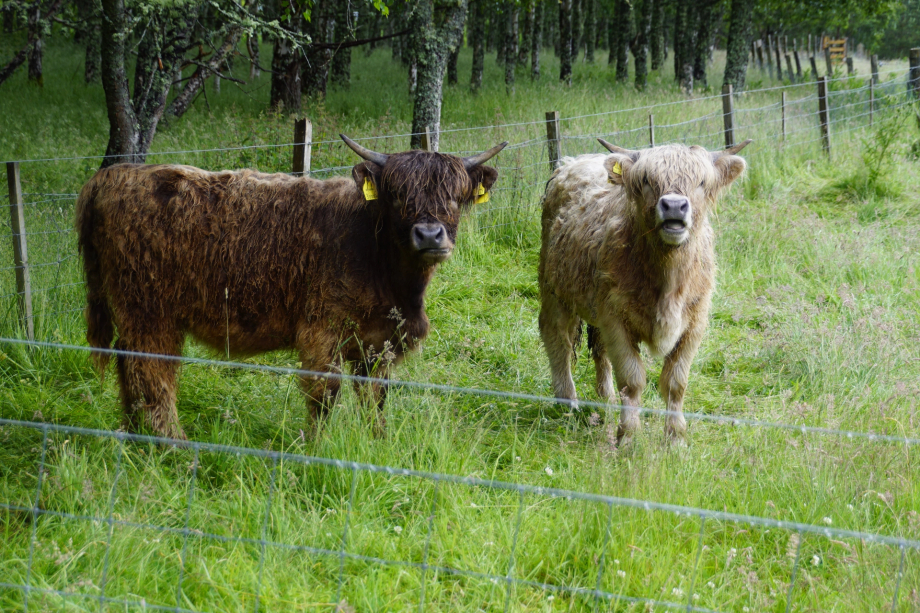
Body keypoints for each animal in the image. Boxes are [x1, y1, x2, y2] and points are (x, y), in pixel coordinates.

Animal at [77, 136, 510, 438]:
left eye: (455, 196)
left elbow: (376, 401)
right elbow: (324, 396)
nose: (430, 235)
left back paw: (134, 434)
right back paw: (173, 445)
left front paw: (378, 444)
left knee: (128, 365)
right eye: (398, 194)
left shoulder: (378, 344)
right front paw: (315, 449)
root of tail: (112, 176)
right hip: (149, 311)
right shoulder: (322, 332)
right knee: (151, 373)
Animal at [536, 137, 752, 444]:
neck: (668, 282)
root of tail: (570, 163)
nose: (674, 205)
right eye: (648, 179)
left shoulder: (694, 323)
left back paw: (606, 399)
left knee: (598, 348)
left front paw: (675, 438)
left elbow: (675, 382)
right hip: (553, 288)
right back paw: (568, 403)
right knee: (556, 339)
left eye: (700, 181)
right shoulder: (615, 320)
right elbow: (632, 379)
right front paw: (628, 437)